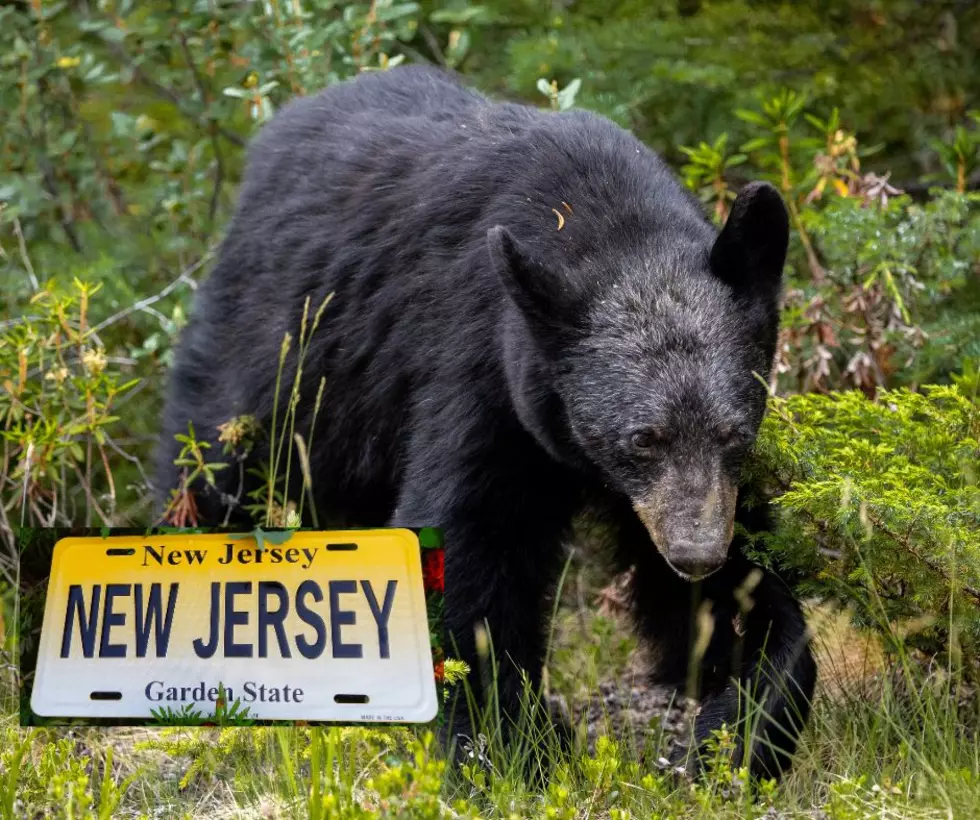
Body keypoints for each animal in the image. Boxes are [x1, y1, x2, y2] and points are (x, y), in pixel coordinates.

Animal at [157, 65, 816, 780]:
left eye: (734, 433)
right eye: (642, 438)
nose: (695, 554)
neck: (604, 222)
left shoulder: (688, 488)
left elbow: (739, 590)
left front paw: (738, 725)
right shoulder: (481, 365)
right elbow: (470, 540)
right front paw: (507, 745)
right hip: (280, 355)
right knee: (216, 470)